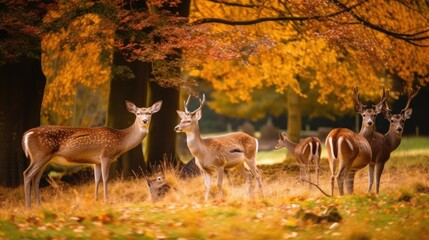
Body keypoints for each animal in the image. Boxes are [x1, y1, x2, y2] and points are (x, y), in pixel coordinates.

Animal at [20, 100, 160, 207]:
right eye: (138, 113)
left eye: (150, 113)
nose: (144, 121)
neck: (121, 140)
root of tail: (27, 134)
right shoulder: (106, 155)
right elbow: (105, 178)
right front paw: (106, 200)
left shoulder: (96, 161)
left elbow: (96, 179)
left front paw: (96, 199)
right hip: (40, 155)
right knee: (27, 173)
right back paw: (28, 206)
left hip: (44, 158)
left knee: (36, 178)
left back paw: (39, 205)